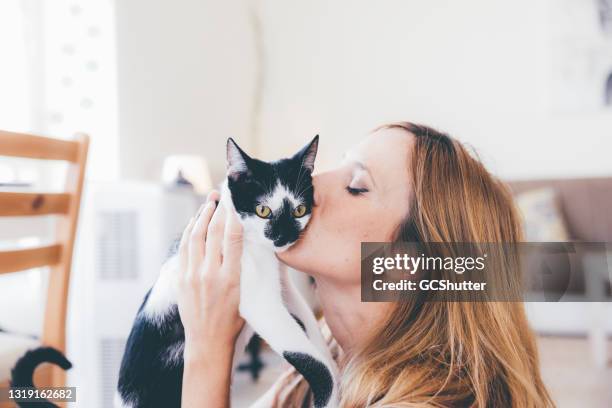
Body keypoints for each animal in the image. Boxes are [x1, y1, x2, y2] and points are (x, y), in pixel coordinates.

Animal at [116, 137, 338, 408]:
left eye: (299, 210)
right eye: (262, 210)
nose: (283, 237)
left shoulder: (284, 287)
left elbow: (312, 326)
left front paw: (334, 362)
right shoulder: (260, 305)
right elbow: (310, 360)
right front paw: (331, 396)